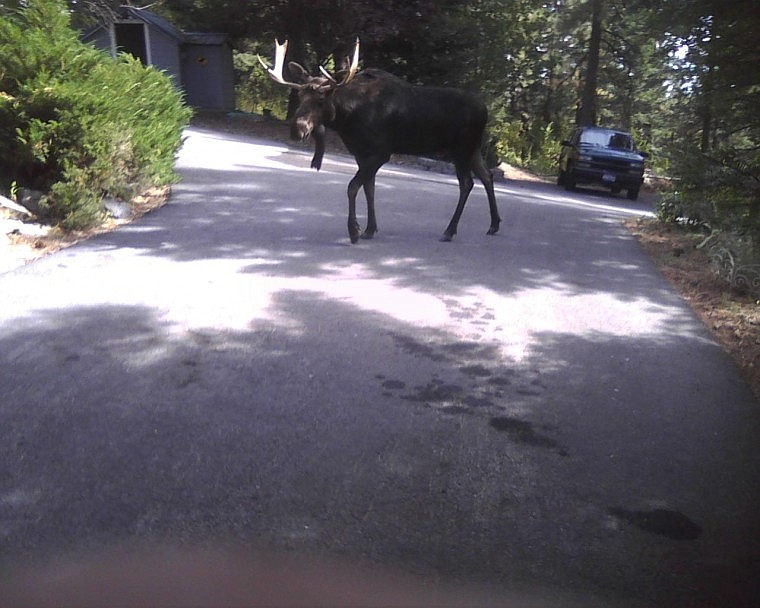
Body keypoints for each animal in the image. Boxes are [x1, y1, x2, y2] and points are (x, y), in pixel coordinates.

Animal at [258, 38, 502, 245]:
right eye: (300, 96)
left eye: (320, 100)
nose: (297, 129)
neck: (349, 118)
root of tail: (485, 111)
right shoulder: (361, 153)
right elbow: (369, 188)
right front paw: (369, 229)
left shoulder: (380, 152)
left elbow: (353, 187)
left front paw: (354, 230)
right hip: (473, 149)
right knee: (487, 176)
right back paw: (494, 225)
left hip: (461, 149)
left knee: (467, 183)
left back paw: (450, 230)